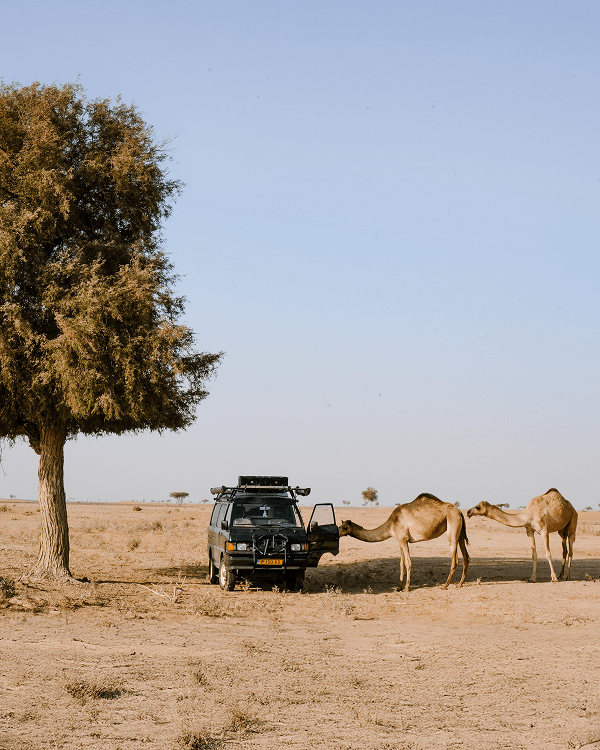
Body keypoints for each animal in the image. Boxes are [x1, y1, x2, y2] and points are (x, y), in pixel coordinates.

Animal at [338, 493, 469, 592]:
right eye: (340, 526)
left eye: (344, 527)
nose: (337, 532)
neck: (391, 524)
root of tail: (460, 512)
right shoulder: (400, 540)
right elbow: (401, 564)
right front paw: (398, 587)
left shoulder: (404, 539)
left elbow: (408, 562)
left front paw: (406, 588)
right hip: (460, 533)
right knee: (466, 556)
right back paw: (459, 584)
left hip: (452, 528)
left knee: (455, 559)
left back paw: (445, 585)